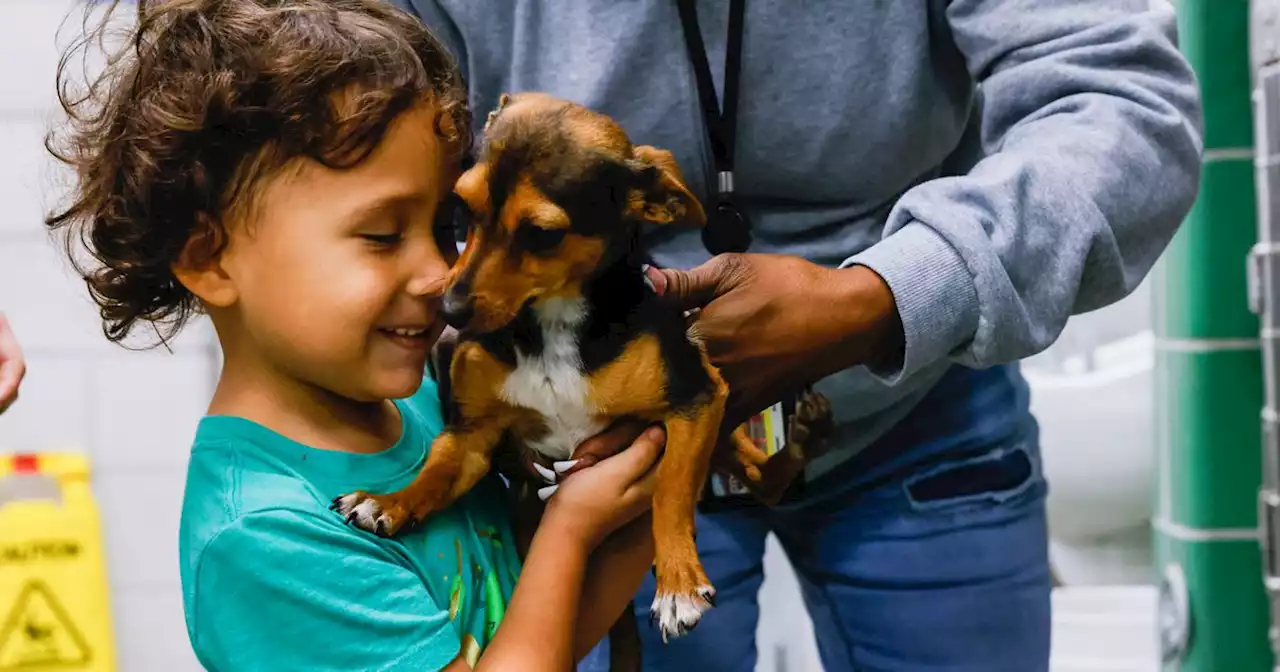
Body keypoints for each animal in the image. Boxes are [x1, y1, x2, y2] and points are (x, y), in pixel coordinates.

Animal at [330, 94, 829, 645]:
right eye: (462, 206)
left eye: (543, 235)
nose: (449, 312)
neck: (553, 325)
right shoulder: (472, 434)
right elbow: (436, 472)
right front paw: (389, 502)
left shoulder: (697, 400)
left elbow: (671, 491)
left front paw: (677, 584)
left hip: (720, 431)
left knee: (764, 480)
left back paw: (805, 436)